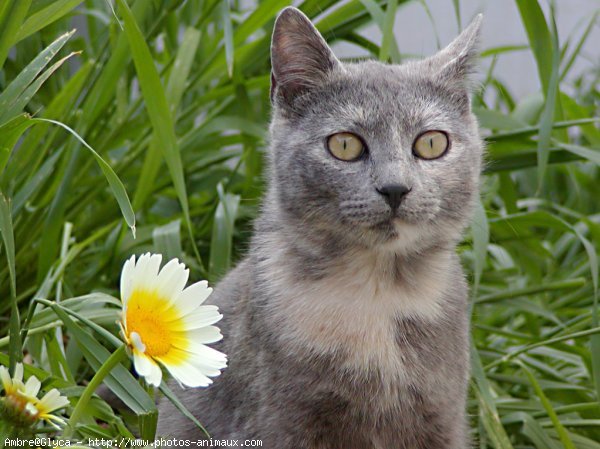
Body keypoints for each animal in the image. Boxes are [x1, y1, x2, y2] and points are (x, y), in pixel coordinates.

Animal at [158, 7, 482, 448]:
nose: (395, 188)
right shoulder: (280, 420)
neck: (377, 294)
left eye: (431, 144)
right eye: (345, 145)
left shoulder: (442, 416)